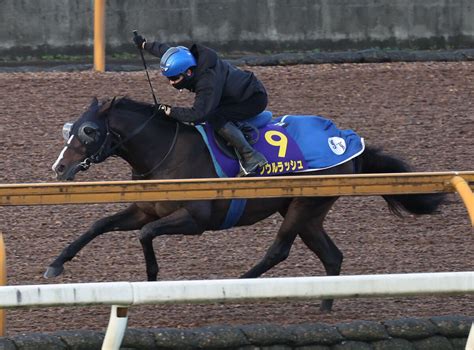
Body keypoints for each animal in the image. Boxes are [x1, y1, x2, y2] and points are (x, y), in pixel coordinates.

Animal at [49, 96, 444, 312]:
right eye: (70, 128)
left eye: (89, 131)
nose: (59, 168)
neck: (166, 152)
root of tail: (347, 140)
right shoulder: (146, 208)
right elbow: (99, 225)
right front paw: (56, 264)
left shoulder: (196, 220)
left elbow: (145, 234)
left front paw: (151, 279)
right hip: (305, 211)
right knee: (332, 255)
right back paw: (325, 305)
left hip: (305, 205)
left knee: (280, 250)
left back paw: (238, 286)